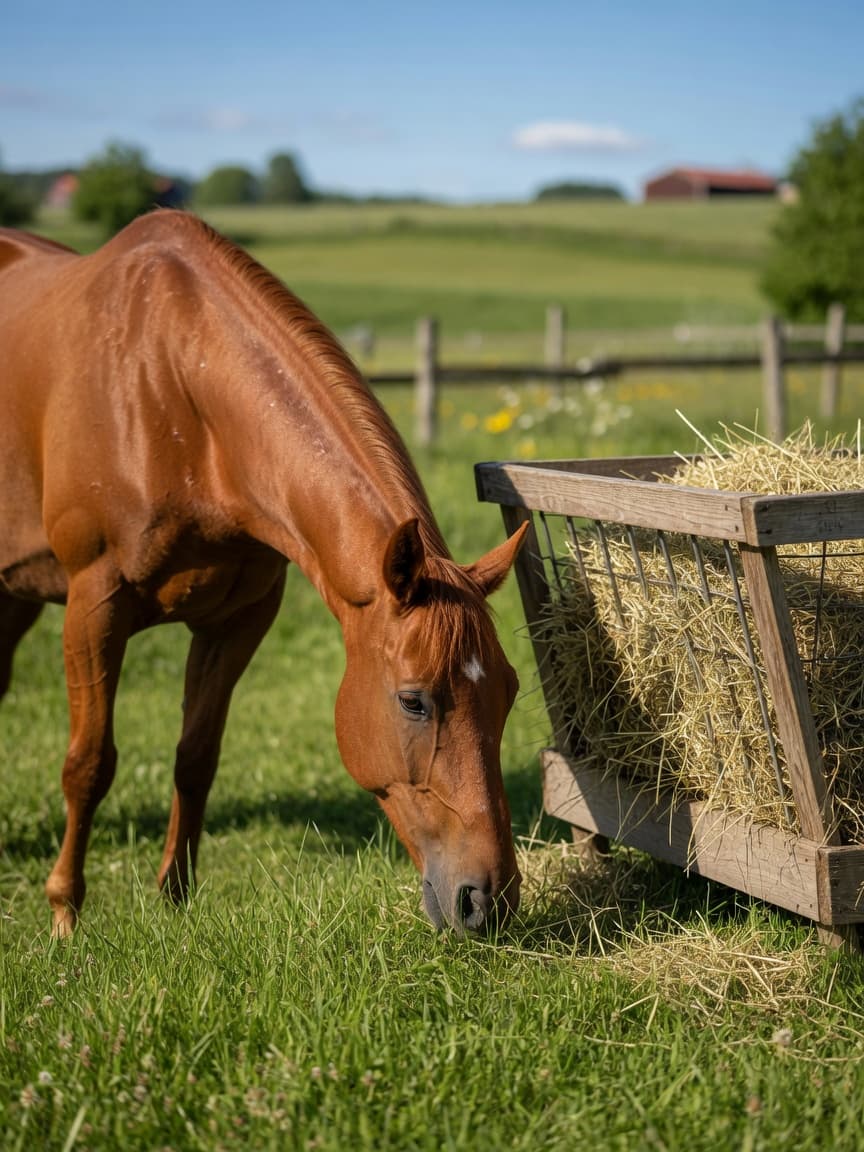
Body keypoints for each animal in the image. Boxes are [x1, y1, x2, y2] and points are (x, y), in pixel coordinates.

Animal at [0, 210, 527, 938]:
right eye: (413, 701)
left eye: (509, 692)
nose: (489, 900)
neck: (170, 386)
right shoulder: (94, 604)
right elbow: (89, 764)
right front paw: (65, 918)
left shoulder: (238, 618)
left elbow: (196, 756)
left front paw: (174, 899)